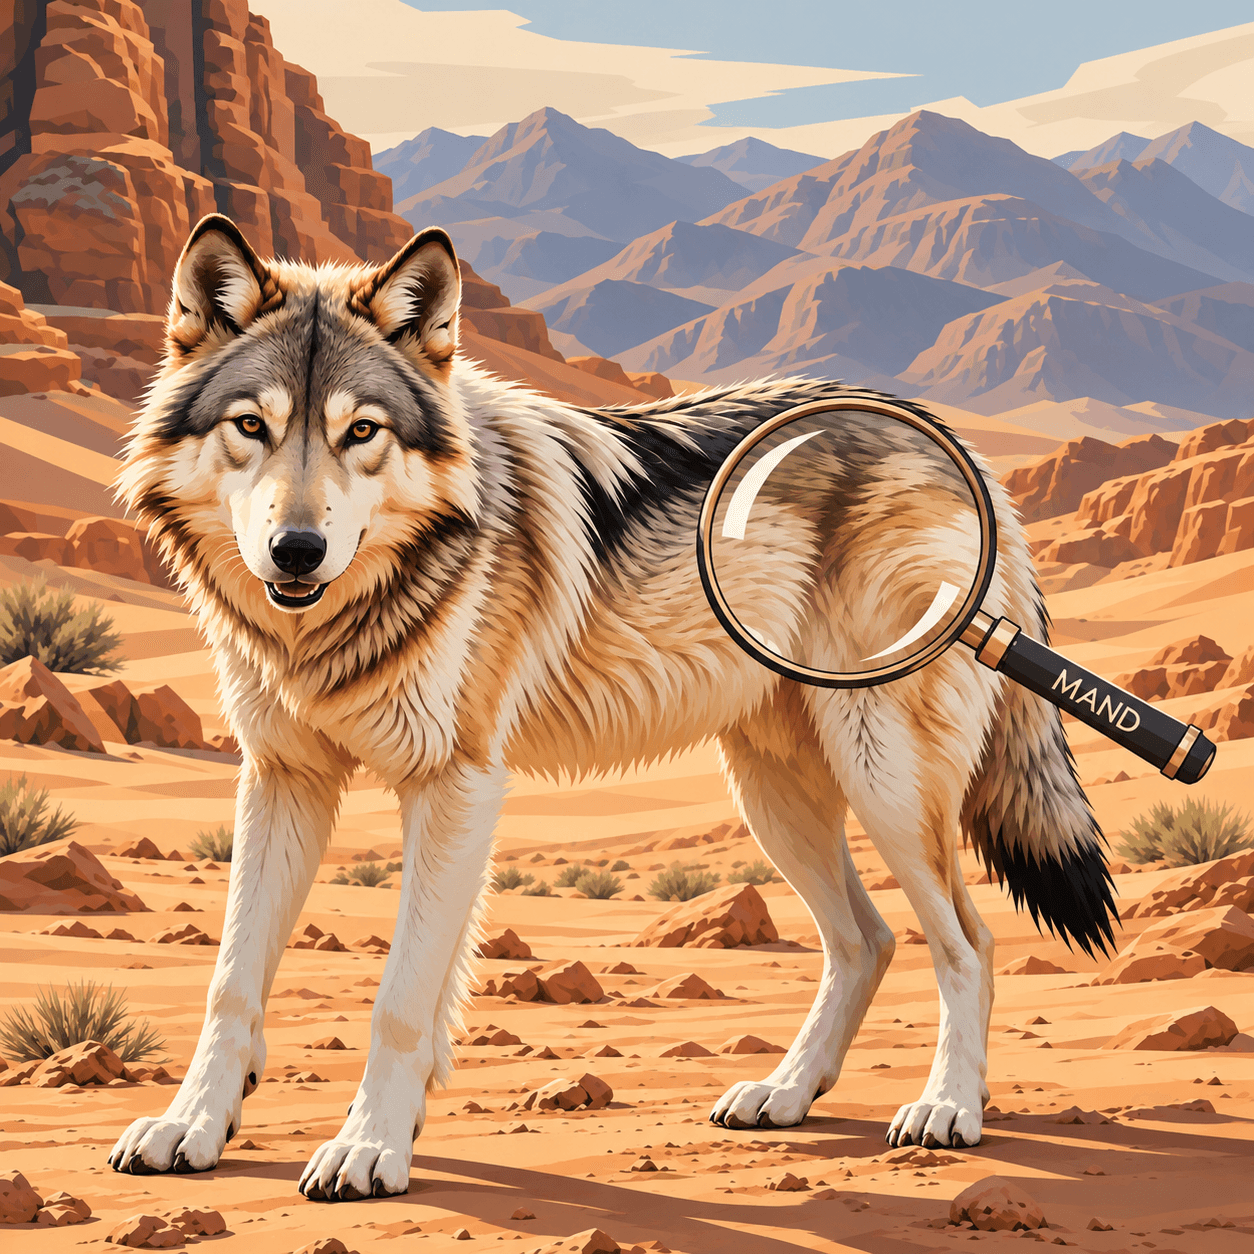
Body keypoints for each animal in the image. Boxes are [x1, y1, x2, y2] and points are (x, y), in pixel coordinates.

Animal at [107, 214, 1118, 1200]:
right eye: (251, 425)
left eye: (362, 432)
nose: (296, 550)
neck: (343, 619)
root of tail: (951, 440)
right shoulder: (285, 777)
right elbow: (234, 981)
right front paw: (194, 1127)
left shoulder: (456, 784)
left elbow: (399, 997)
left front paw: (368, 1148)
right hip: (776, 795)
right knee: (864, 941)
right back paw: (786, 1094)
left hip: (885, 784)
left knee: (969, 943)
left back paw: (947, 1108)